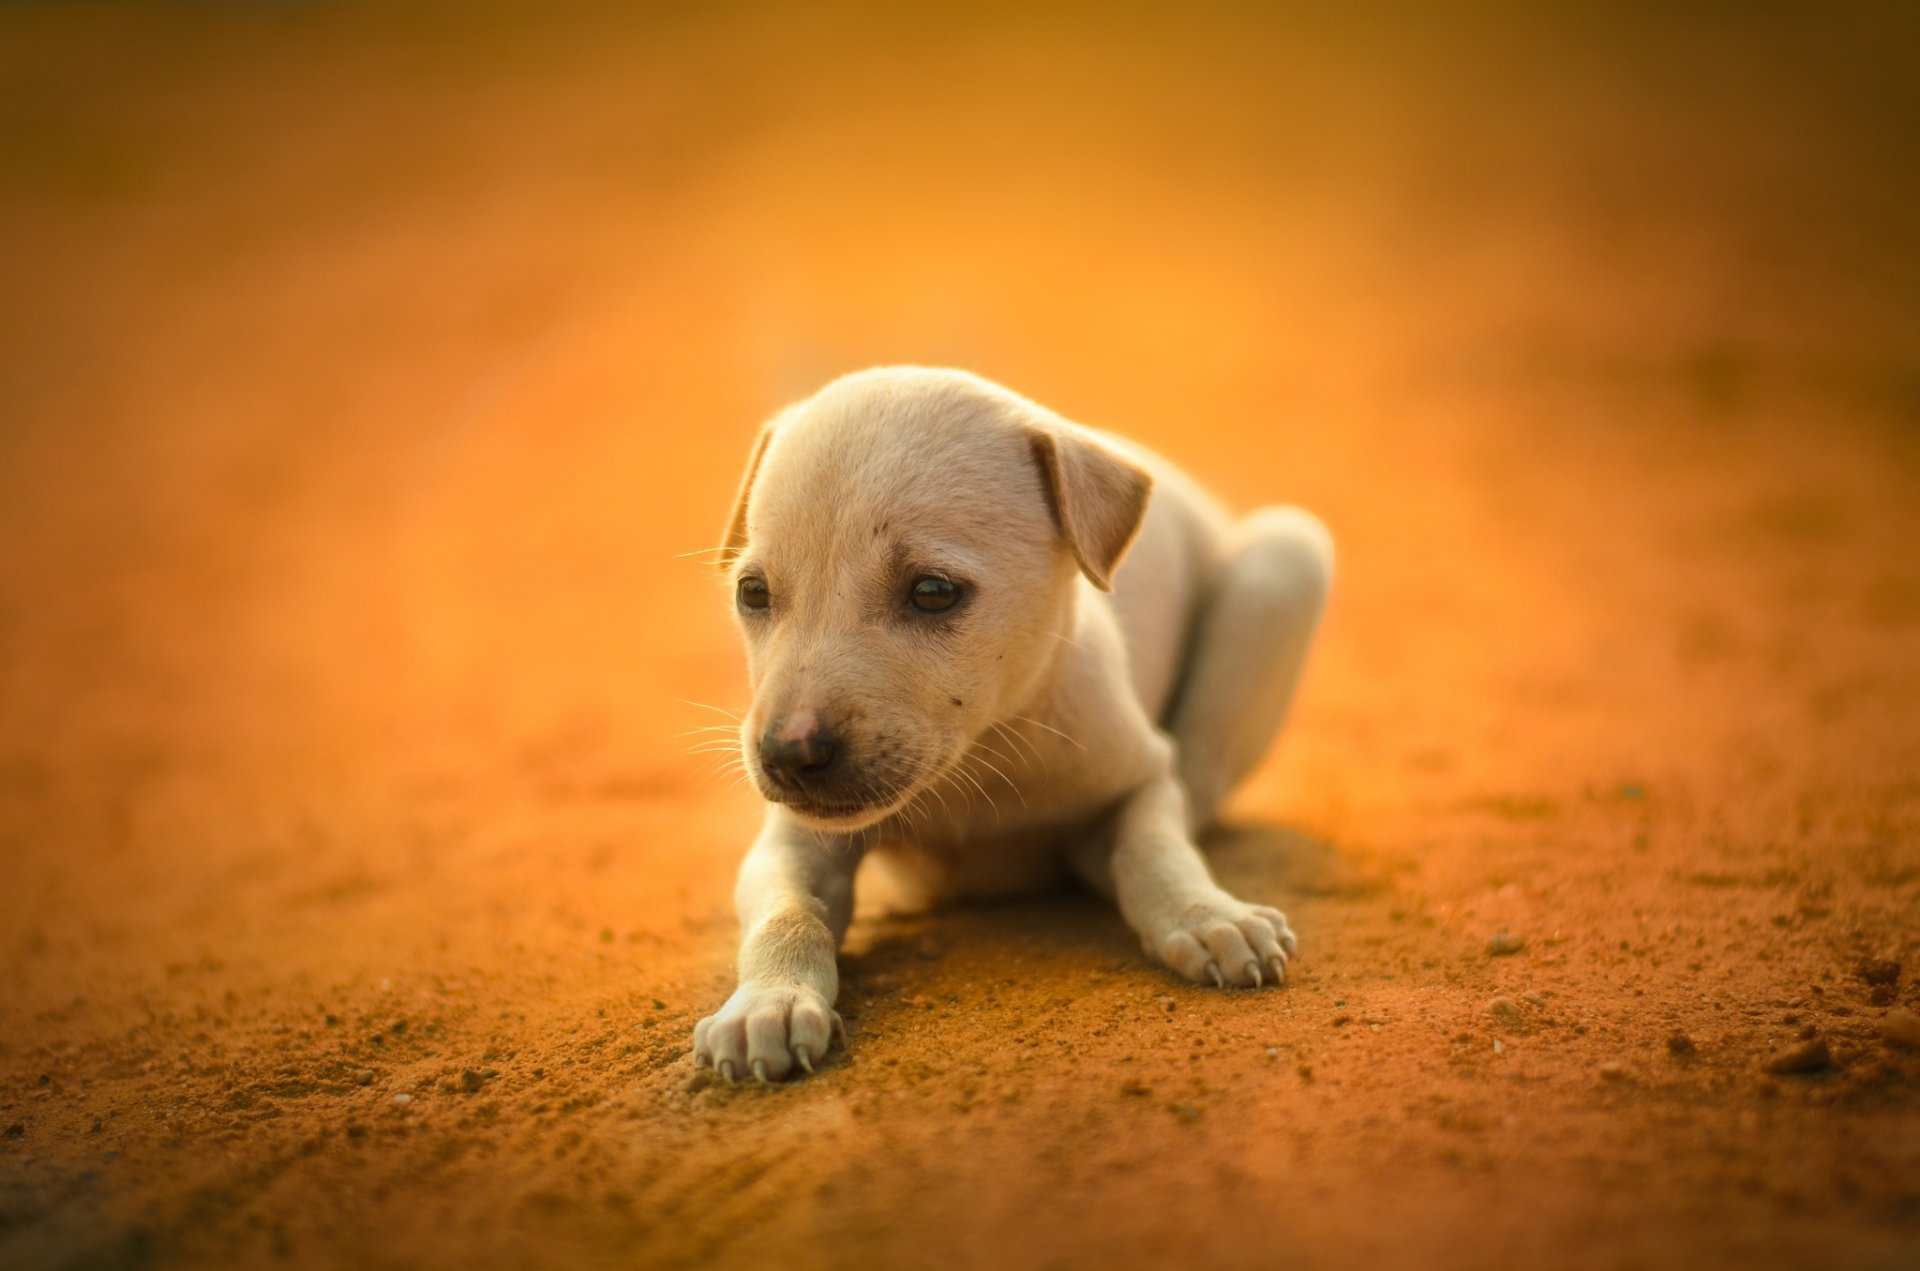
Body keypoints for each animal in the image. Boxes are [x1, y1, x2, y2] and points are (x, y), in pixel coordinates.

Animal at [695, 368, 1336, 1082]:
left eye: (933, 592)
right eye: (752, 592)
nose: (786, 756)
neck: (978, 758)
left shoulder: (1143, 778)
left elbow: (1155, 847)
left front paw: (1208, 916)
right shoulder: (796, 838)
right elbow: (786, 910)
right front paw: (768, 1002)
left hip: (1283, 568)